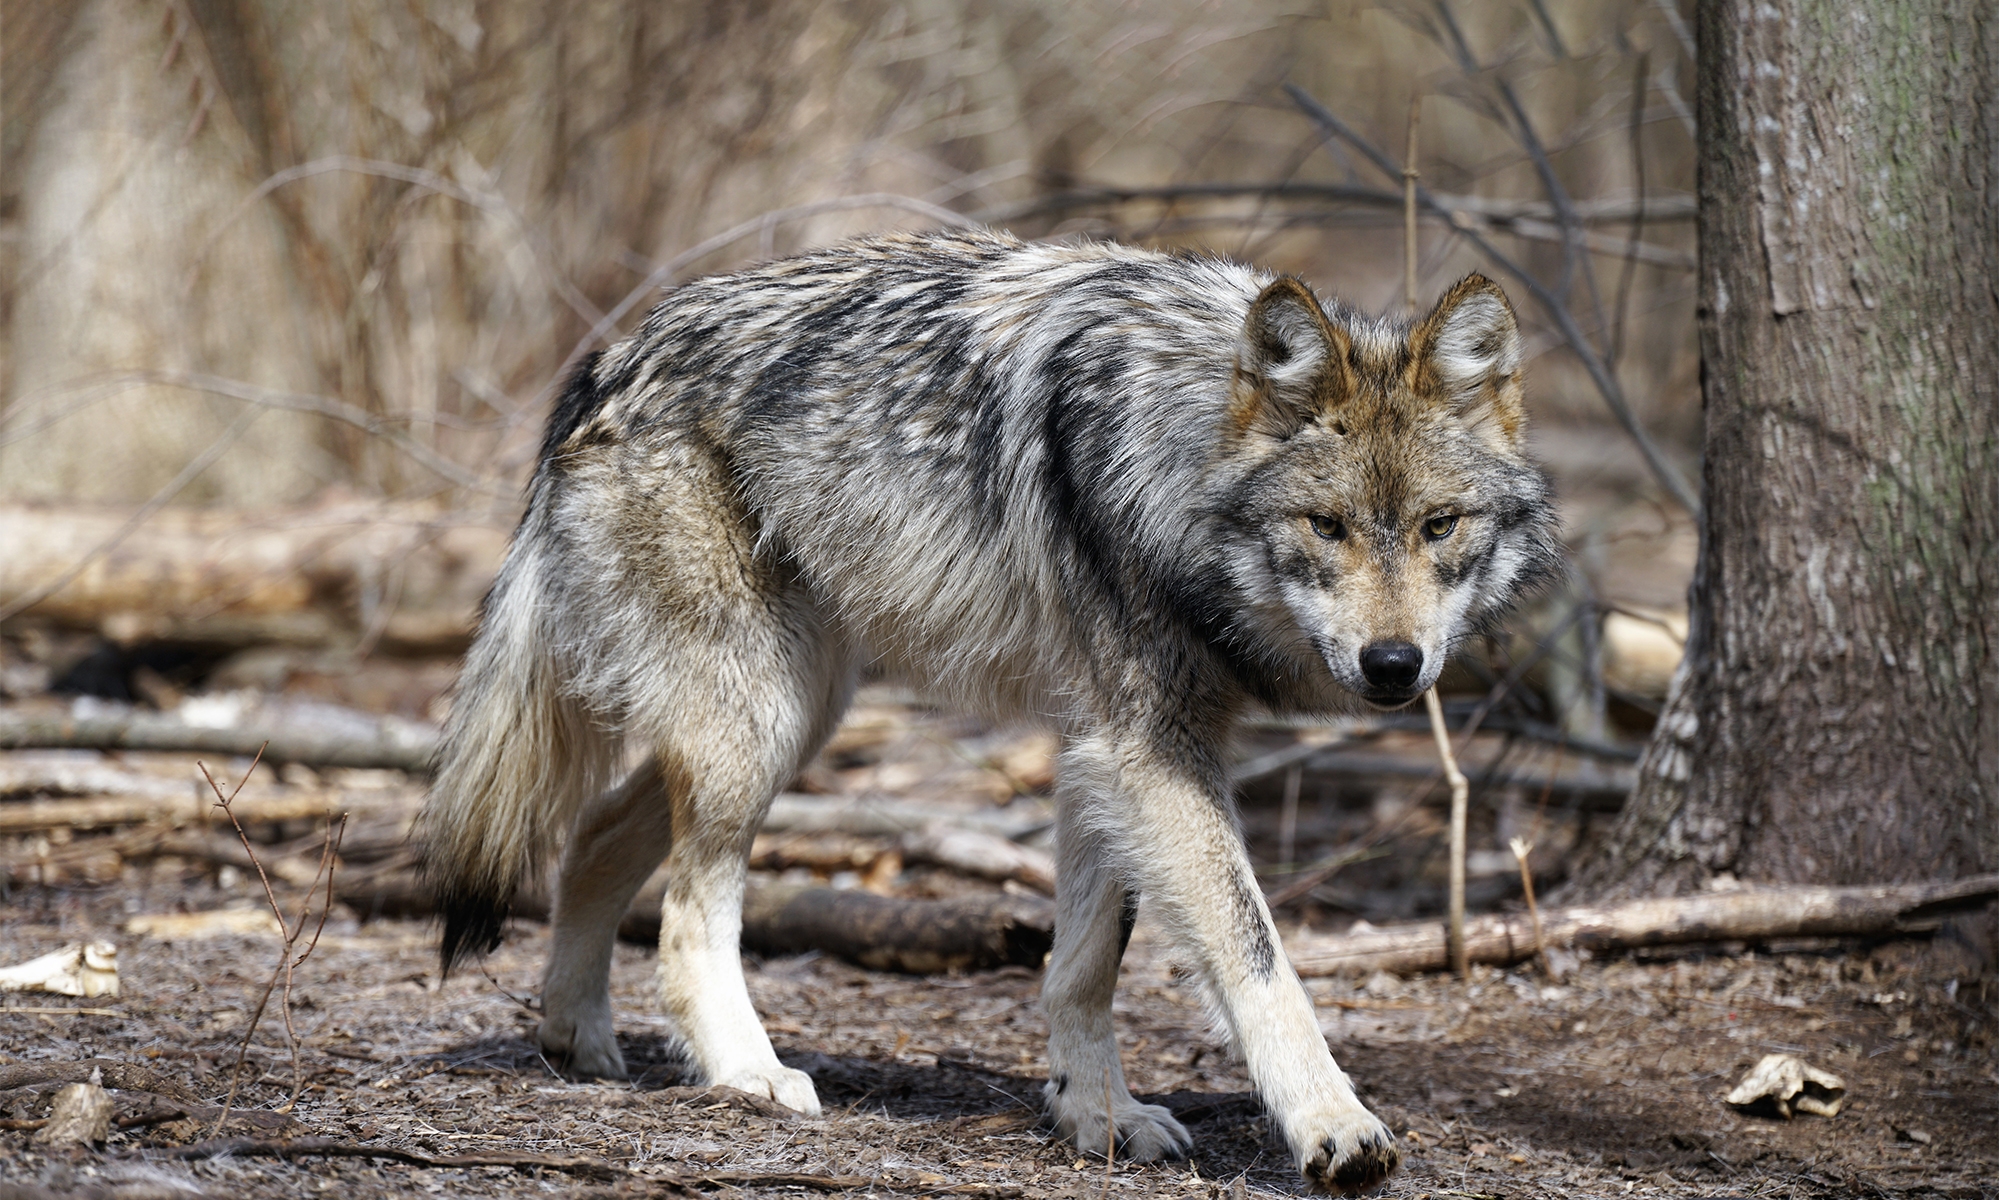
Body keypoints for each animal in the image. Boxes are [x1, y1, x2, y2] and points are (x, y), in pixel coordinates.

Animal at [414, 225, 1552, 1192]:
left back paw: (578, 1039)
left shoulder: (1110, 749)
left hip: (796, 712)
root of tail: (608, 359)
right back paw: (747, 1074)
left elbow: (1083, 967)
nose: (1394, 664)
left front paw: (1095, 1117)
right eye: (1326, 526)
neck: (1171, 450)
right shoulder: (1148, 750)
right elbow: (1257, 956)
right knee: (691, 914)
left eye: (1439, 526)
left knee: (597, 836)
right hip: (759, 723)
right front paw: (1332, 1125)